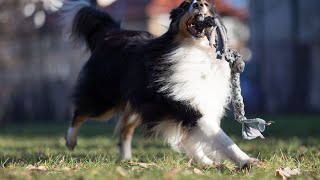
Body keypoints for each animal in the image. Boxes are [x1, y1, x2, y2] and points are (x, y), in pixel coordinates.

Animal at [62, 0, 258, 169]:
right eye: (185, 5)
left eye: (208, 5)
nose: (199, 4)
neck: (195, 49)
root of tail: (110, 33)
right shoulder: (189, 107)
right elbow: (221, 138)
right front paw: (246, 161)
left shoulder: (200, 105)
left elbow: (194, 140)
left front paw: (206, 163)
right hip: (104, 99)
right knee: (80, 113)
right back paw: (70, 141)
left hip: (138, 105)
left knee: (124, 130)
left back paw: (128, 160)